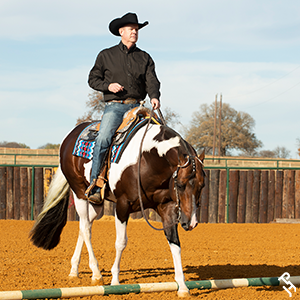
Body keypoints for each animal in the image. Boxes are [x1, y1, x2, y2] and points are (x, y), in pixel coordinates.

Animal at [29, 108, 205, 298]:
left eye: (202, 186)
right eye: (180, 184)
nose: (191, 223)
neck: (146, 158)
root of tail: (68, 138)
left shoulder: (167, 207)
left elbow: (175, 243)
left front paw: (183, 286)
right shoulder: (122, 205)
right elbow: (121, 242)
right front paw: (115, 281)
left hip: (96, 205)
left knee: (84, 226)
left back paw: (74, 270)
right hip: (79, 193)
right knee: (86, 229)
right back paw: (96, 274)